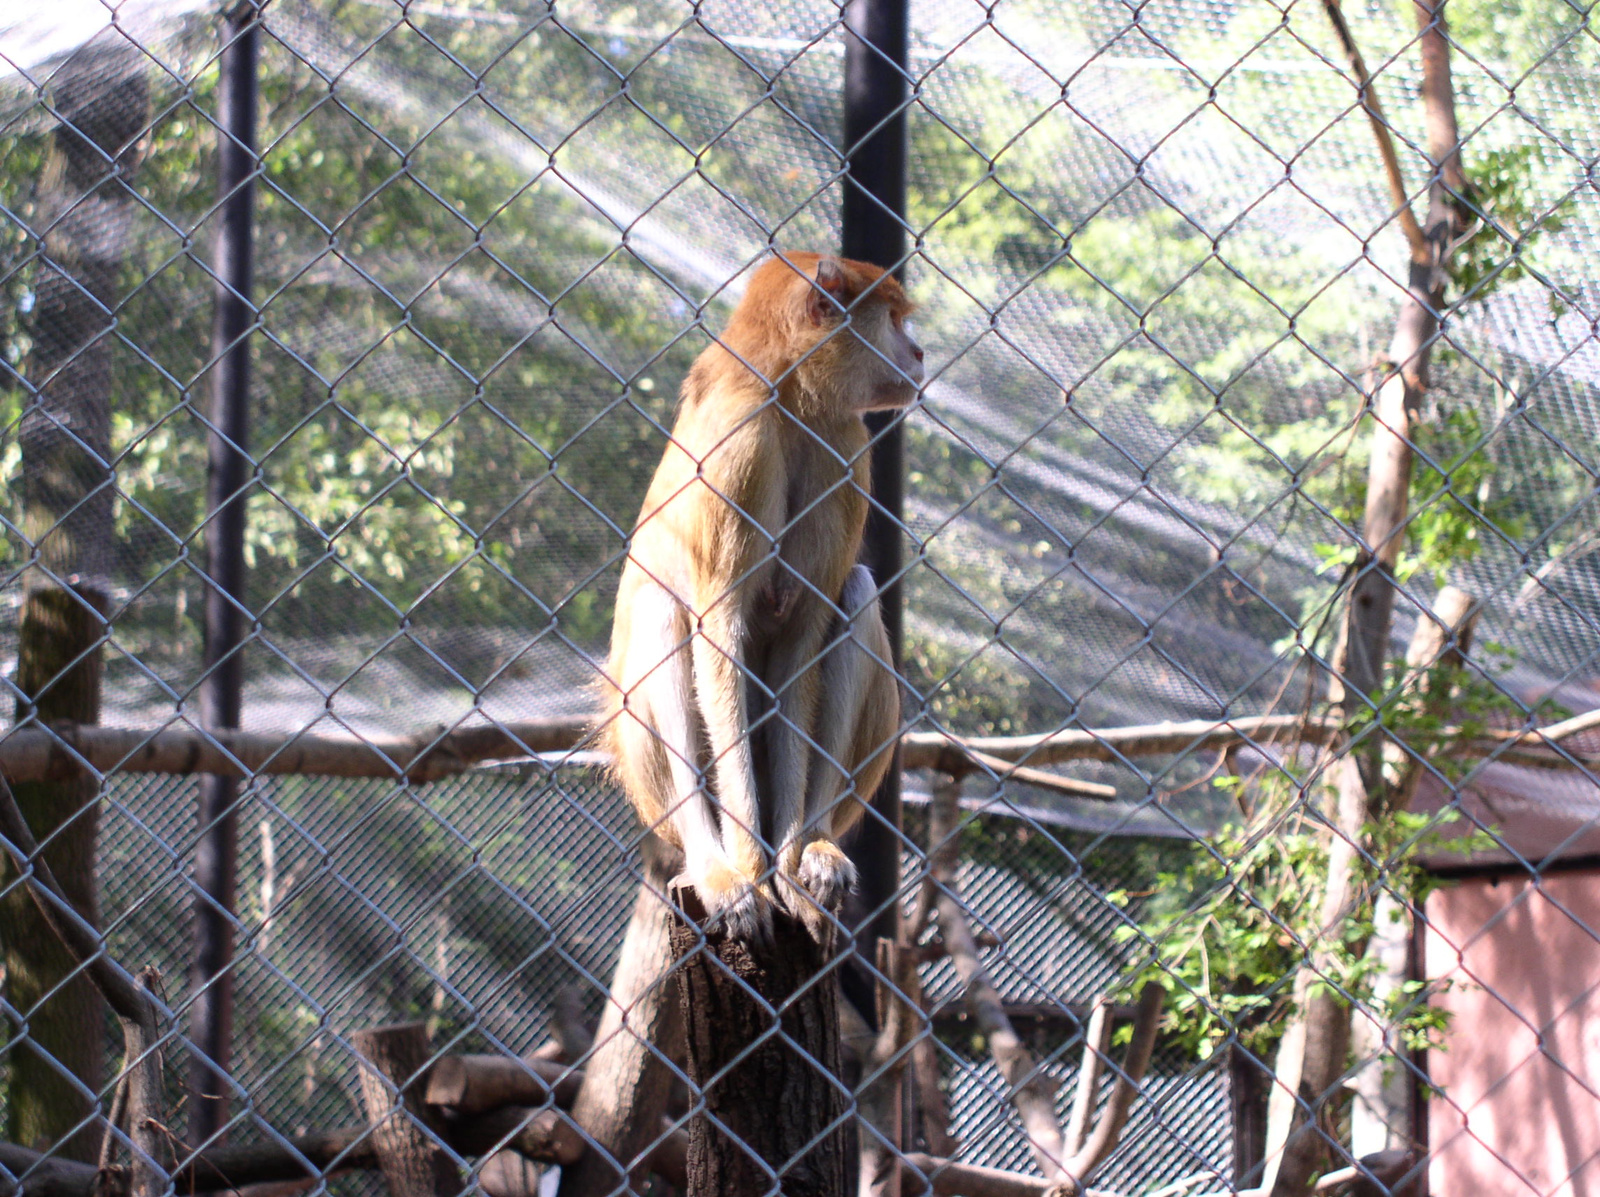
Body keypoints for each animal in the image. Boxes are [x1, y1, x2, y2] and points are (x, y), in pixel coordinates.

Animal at [598, 254, 928, 947]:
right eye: (890, 318)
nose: (917, 352)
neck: (788, 394)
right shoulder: (740, 445)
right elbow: (718, 633)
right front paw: (750, 873)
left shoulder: (845, 450)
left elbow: (801, 640)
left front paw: (791, 864)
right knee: (665, 611)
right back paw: (714, 865)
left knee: (856, 593)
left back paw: (817, 847)